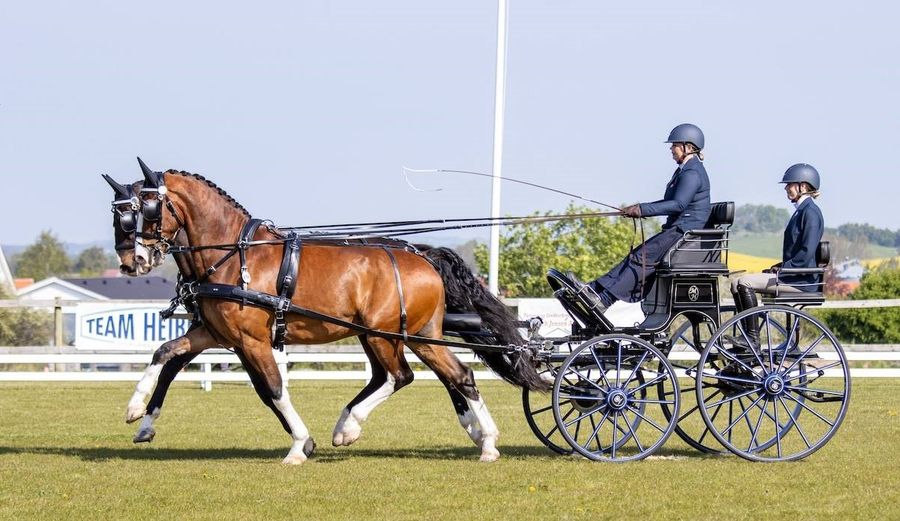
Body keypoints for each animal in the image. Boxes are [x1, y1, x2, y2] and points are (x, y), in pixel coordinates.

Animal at [104, 160, 546, 464]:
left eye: (146, 208)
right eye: (117, 212)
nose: (131, 261)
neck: (233, 254)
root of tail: (422, 257)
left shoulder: (252, 340)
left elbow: (273, 389)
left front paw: (299, 445)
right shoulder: (216, 334)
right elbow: (165, 354)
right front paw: (137, 414)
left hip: (386, 335)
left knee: (404, 376)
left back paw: (357, 427)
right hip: (409, 335)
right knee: (452, 375)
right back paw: (480, 440)